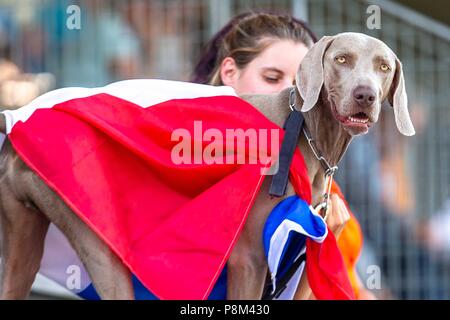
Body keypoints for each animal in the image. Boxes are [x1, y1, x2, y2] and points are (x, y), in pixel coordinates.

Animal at [0, 33, 414, 300]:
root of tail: (19, 117)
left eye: (383, 66)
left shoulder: (306, 256)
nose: (365, 95)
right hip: (97, 238)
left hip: (22, 241)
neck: (308, 134)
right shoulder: (249, 256)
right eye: (341, 59)